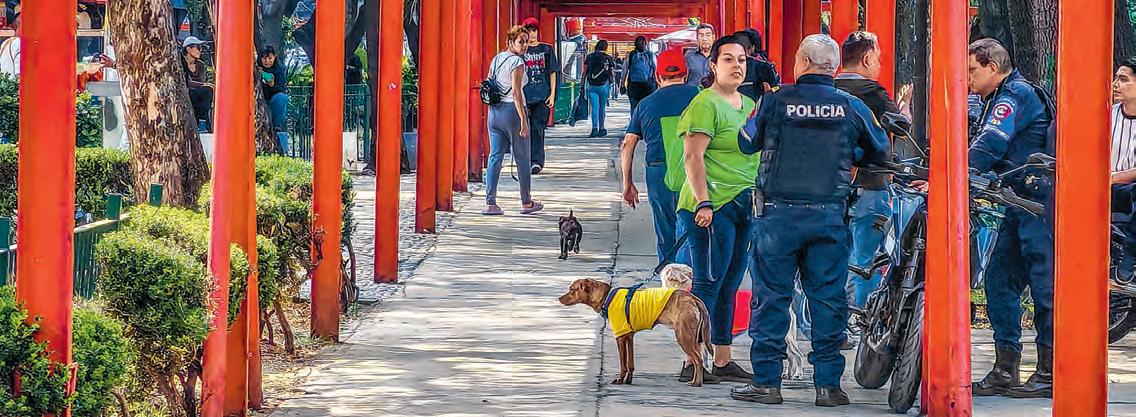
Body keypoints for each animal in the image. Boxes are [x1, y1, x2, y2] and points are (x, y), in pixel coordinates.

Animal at [559, 278, 713, 386]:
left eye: (572, 289)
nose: (559, 298)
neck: (606, 296)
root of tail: (693, 298)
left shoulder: (620, 337)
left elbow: (623, 364)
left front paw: (620, 380)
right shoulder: (629, 336)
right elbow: (630, 363)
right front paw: (628, 380)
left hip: (683, 336)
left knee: (698, 360)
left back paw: (696, 383)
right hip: (695, 338)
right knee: (699, 359)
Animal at [658, 263, 806, 381]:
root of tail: (789, 305)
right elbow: (703, 355)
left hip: (787, 337)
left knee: (797, 355)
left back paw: (798, 374)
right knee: (791, 356)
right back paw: (787, 374)